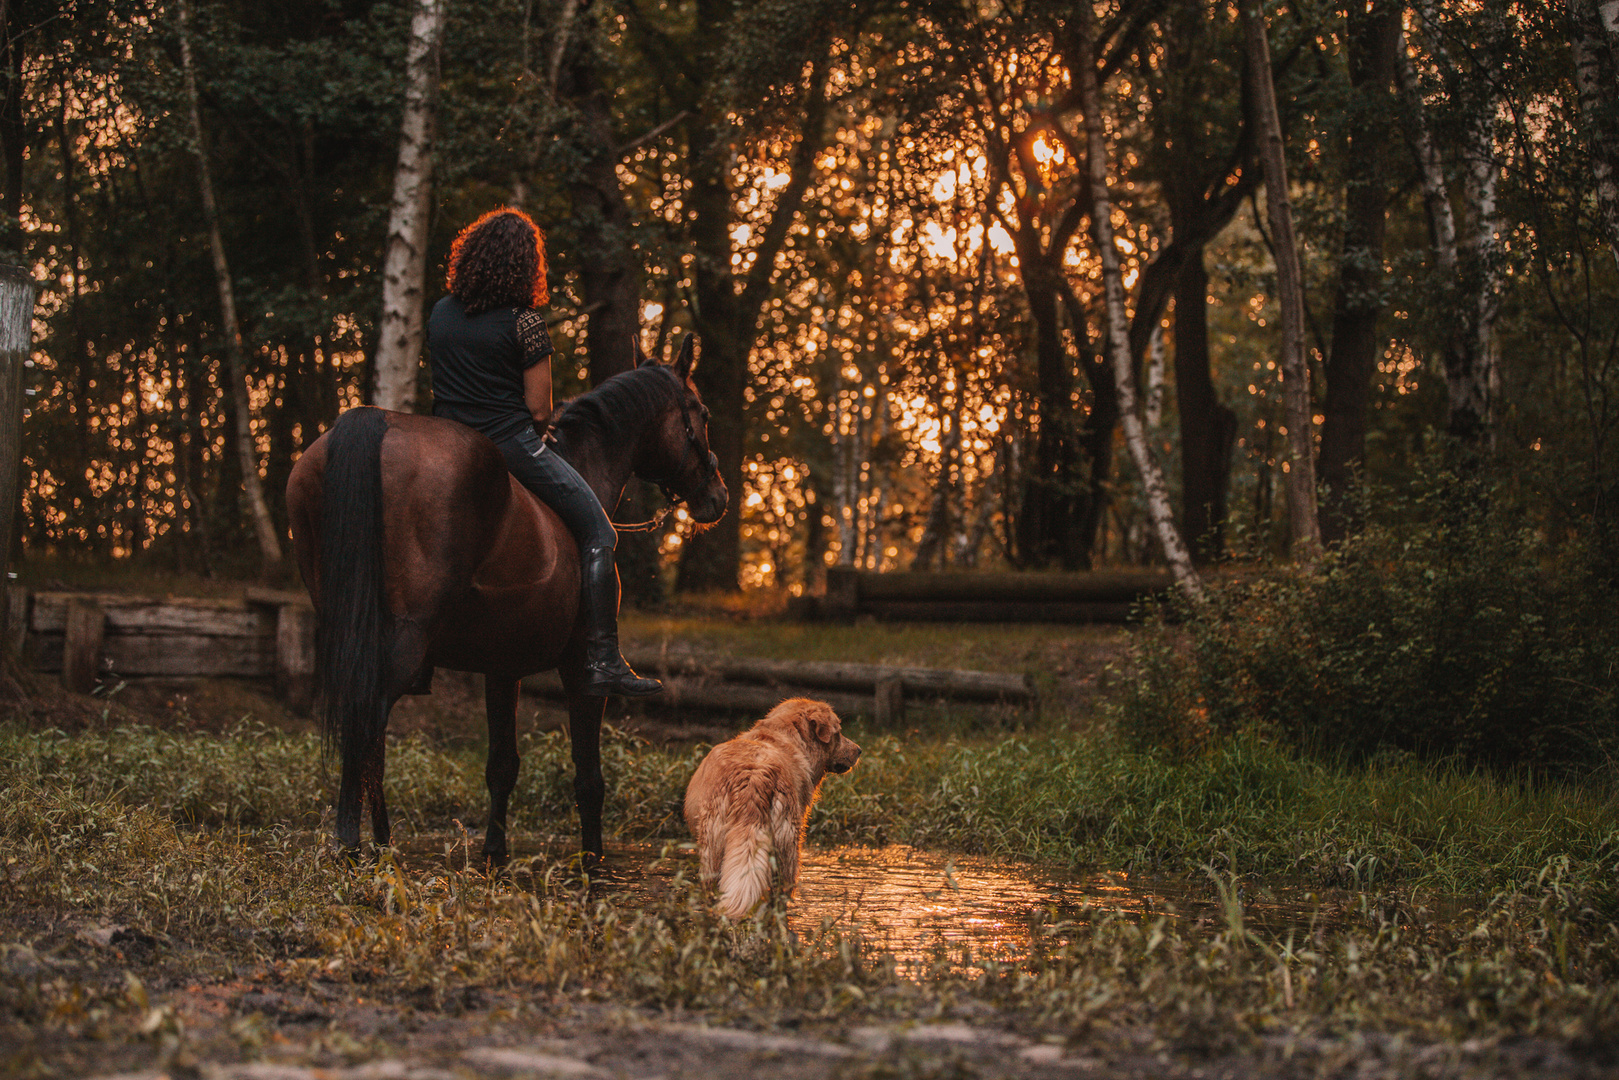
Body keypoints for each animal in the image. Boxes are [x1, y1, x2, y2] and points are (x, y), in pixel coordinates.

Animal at [286, 335, 728, 861]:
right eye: (702, 412)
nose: (717, 497)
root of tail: (375, 421)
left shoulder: (502, 667)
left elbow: (501, 766)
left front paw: (494, 852)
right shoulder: (580, 673)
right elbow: (589, 778)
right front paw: (593, 860)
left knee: (372, 736)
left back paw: (382, 840)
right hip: (405, 638)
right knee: (365, 718)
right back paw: (353, 844)